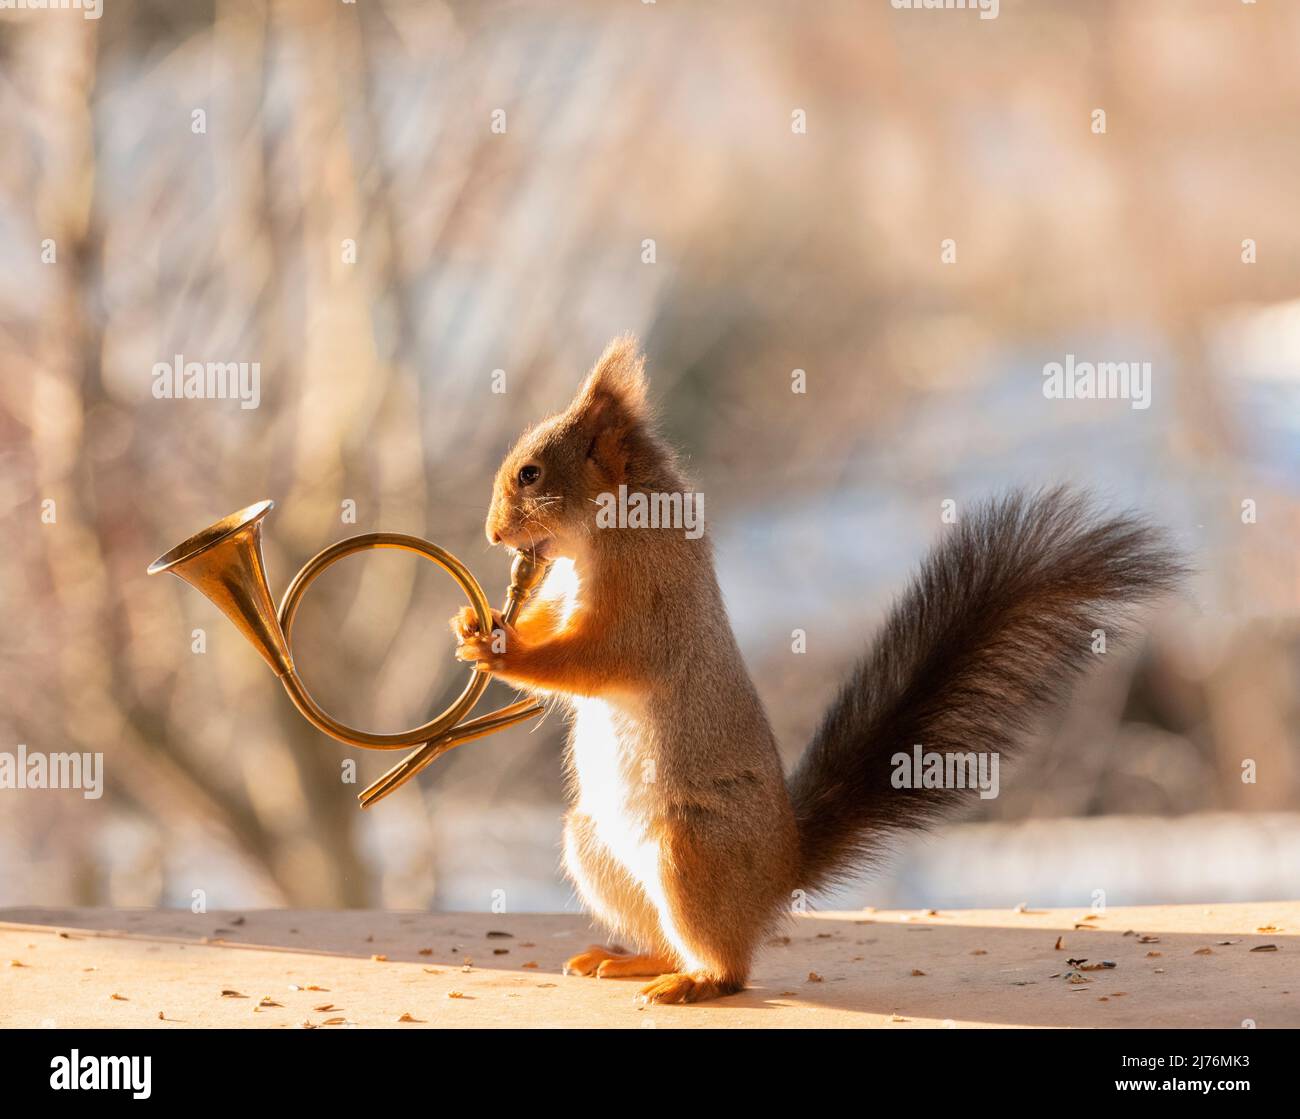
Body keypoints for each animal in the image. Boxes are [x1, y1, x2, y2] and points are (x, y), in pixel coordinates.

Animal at [449, 332, 1190, 1003]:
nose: (490, 534)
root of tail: (781, 870)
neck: (604, 533)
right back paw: (633, 960)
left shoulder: (647, 600)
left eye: (531, 473)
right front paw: (471, 626)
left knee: (730, 963)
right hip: (597, 847)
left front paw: (500, 650)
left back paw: (694, 981)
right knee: (665, 932)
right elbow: (554, 632)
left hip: (688, 848)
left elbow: (592, 660)